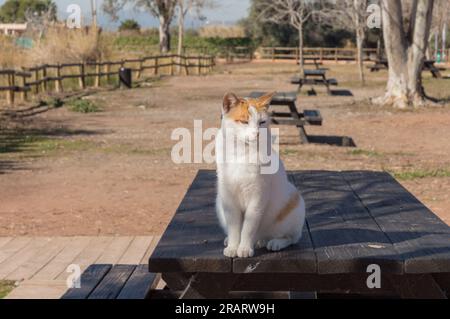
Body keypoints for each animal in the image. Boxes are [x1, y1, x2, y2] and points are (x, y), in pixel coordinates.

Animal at [214, 91, 306, 258]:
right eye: (244, 121)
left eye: (262, 122)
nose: (256, 133)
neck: (241, 153)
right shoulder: (228, 198)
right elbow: (234, 227)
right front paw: (233, 246)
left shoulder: (258, 196)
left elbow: (248, 227)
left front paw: (244, 248)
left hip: (294, 202)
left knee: (292, 238)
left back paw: (274, 242)